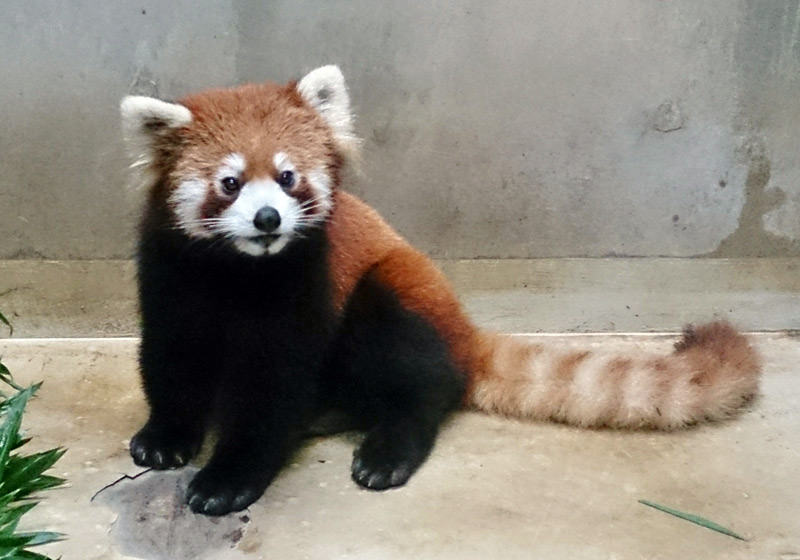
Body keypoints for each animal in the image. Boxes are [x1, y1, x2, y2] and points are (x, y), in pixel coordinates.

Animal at [119, 64, 764, 516]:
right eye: (229, 183)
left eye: (287, 177)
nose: (269, 219)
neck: (240, 271)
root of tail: (464, 332)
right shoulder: (171, 277)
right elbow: (171, 359)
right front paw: (166, 437)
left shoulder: (307, 287)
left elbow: (272, 390)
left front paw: (229, 477)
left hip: (396, 293)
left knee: (419, 375)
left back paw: (389, 446)